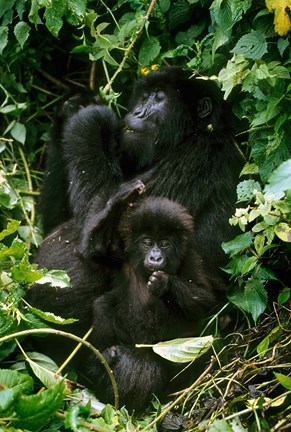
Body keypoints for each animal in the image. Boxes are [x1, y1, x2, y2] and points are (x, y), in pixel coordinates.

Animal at [86, 196, 226, 412]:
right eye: (147, 242)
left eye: (165, 244)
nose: (155, 257)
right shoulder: (121, 254)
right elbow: (94, 250)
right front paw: (120, 201)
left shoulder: (189, 258)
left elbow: (204, 299)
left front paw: (164, 283)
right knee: (104, 304)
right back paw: (104, 357)